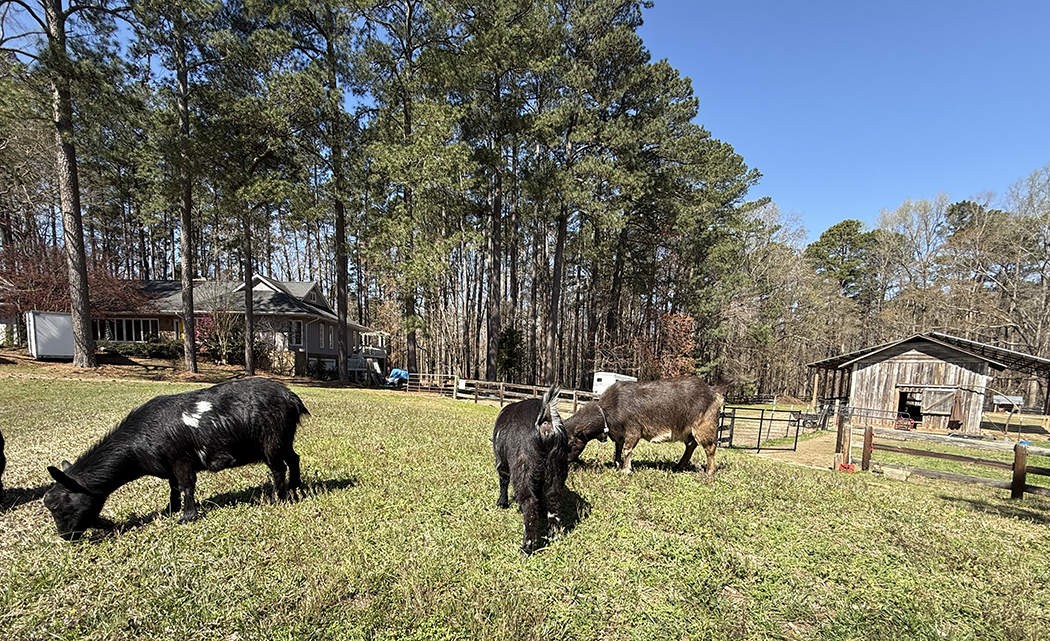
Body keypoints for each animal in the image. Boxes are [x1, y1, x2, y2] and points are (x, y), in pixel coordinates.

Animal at [43, 377, 309, 540]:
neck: (138, 445)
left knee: (278, 468)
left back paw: (278, 497)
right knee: (293, 459)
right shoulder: (169, 465)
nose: (66, 537)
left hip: (272, 440)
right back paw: (296, 487)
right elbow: (174, 487)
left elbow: (186, 485)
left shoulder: (180, 458)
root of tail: (292, 398)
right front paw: (170, 509)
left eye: (56, 506)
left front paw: (187, 516)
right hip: (284, 439)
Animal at [492, 385, 568, 555]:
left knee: (529, 502)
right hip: (559, 466)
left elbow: (503, 482)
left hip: (522, 468)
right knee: (553, 497)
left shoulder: (502, 465)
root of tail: (546, 419)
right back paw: (553, 535)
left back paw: (526, 547)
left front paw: (502, 503)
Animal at [565, 377, 727, 475]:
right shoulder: (619, 435)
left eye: (571, 443)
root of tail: (714, 392)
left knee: (710, 448)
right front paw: (617, 464)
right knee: (691, 445)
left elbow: (627, 449)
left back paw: (709, 472)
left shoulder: (633, 430)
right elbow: (618, 449)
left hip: (704, 426)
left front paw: (626, 470)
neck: (608, 410)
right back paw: (678, 466)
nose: (566, 461)